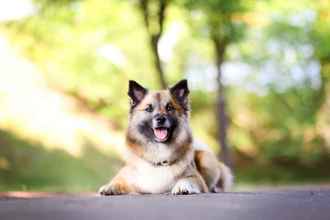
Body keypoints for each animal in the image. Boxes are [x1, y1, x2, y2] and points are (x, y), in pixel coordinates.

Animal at [98, 78, 232, 194]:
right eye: (149, 109)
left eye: (169, 108)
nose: (160, 119)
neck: (159, 155)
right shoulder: (128, 177)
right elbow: (118, 180)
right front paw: (110, 186)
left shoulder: (197, 179)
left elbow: (187, 179)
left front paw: (182, 186)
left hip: (206, 159)